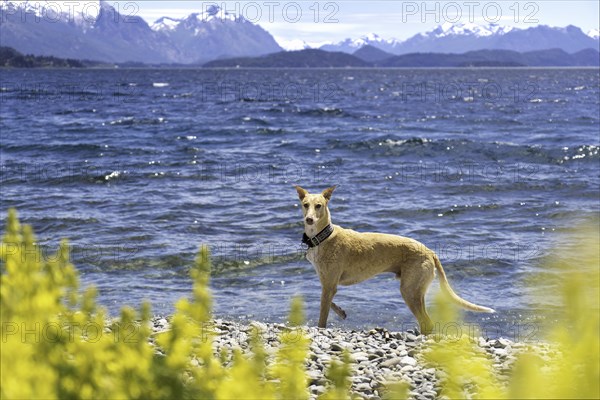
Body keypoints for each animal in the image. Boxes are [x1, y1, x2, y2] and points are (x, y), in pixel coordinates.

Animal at [292, 185, 494, 334]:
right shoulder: (328, 284)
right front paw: (341, 312)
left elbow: (322, 316)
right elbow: (329, 302)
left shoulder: (329, 285)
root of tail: (429, 251)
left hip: (409, 290)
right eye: (305, 204)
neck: (324, 236)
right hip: (416, 291)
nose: (309, 220)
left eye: (319, 206)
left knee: (427, 323)